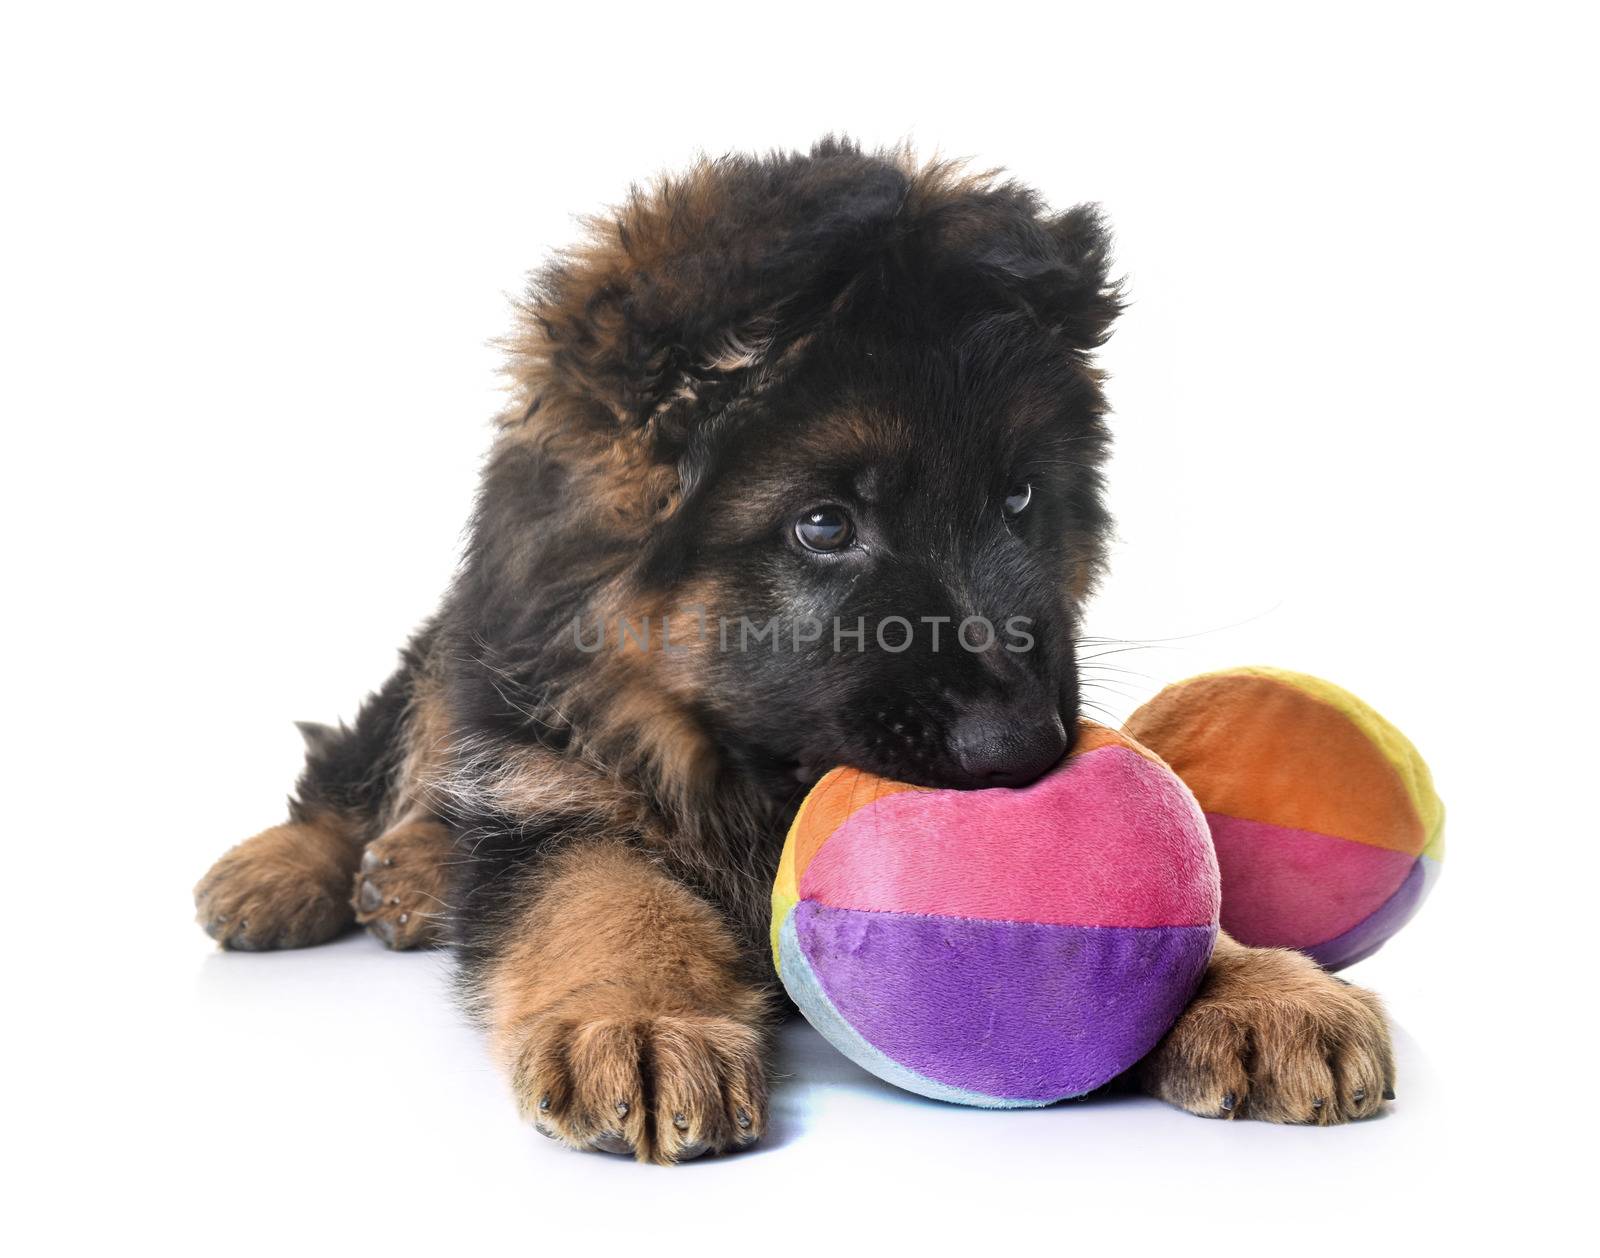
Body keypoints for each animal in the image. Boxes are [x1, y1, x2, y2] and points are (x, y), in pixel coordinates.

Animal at [196, 137, 1388, 1158]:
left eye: (1018, 502)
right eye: (824, 525)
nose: (1024, 749)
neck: (740, 766)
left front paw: (1261, 986)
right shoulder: (545, 790)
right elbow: (603, 892)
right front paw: (644, 1015)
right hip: (443, 664)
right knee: (358, 760)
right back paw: (302, 870)